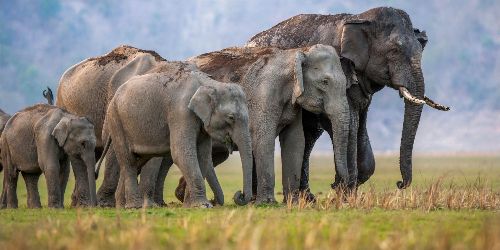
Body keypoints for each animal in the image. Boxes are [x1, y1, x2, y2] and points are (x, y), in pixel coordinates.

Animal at [96, 61, 254, 209]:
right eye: (231, 117)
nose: (239, 194)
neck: (209, 83)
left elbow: (202, 155)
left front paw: (190, 206)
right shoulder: (180, 112)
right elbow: (182, 153)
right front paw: (202, 206)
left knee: (137, 161)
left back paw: (122, 206)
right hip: (116, 120)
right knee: (128, 160)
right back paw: (134, 206)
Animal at [246, 5, 450, 193]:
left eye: (421, 50)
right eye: (394, 51)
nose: (399, 184)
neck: (361, 19)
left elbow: (360, 124)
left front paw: (347, 189)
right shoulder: (338, 69)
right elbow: (349, 122)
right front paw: (344, 190)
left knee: (310, 135)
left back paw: (307, 197)